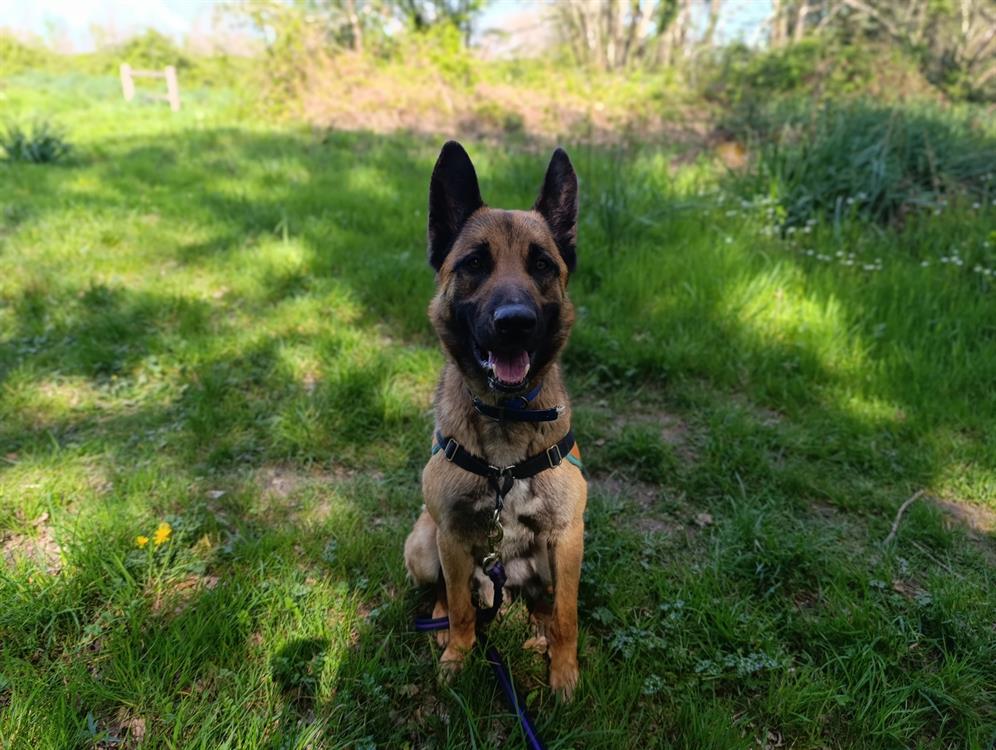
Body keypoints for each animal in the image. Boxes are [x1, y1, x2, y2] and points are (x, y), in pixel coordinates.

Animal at [404, 141, 587, 699]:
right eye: (475, 263)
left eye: (542, 265)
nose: (515, 324)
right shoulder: (451, 534)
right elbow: (463, 608)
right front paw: (458, 657)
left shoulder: (569, 538)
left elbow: (568, 615)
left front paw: (563, 672)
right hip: (424, 545)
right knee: (450, 592)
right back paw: (443, 624)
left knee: (542, 601)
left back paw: (537, 628)